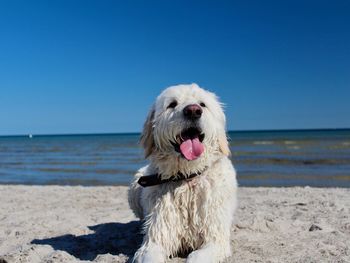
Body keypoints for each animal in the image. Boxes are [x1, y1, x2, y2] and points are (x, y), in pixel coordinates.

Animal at [127, 84, 237, 263]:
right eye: (172, 104)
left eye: (202, 104)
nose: (193, 111)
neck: (187, 178)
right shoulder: (156, 239)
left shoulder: (215, 240)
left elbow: (197, 257)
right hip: (135, 184)